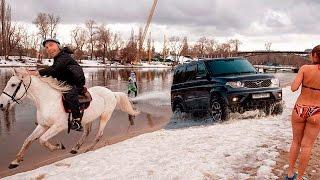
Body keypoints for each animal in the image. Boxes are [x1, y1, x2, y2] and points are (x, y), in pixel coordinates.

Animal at [0, 67, 139, 169]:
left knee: (98, 135)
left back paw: (88, 149)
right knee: (86, 132)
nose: (1, 104)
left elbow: (42, 140)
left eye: (13, 84)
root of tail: (112, 93)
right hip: (88, 119)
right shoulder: (43, 125)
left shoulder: (58, 126)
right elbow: (28, 140)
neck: (47, 100)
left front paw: (58, 146)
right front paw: (15, 161)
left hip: (105, 117)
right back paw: (75, 148)